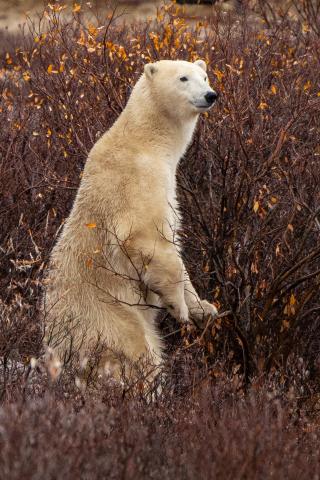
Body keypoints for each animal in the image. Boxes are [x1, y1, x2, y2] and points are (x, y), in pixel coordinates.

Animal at [43, 58, 219, 376]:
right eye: (183, 78)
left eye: (205, 76)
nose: (211, 95)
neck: (144, 141)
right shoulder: (138, 180)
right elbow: (147, 239)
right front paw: (179, 308)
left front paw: (204, 308)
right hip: (108, 314)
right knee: (135, 351)